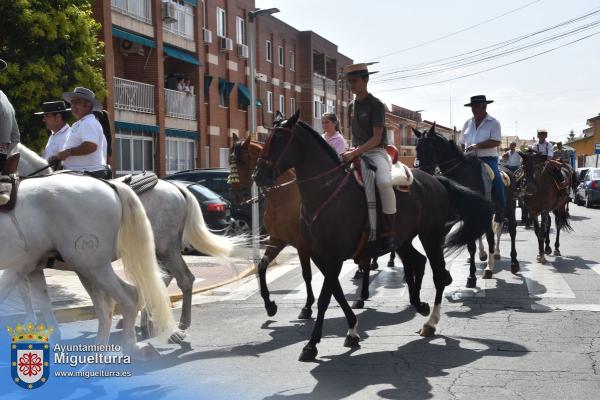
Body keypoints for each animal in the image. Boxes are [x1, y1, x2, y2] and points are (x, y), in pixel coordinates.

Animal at [0, 164, 177, 358]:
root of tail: (111, 186)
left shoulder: (23, 265)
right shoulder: (31, 266)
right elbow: (42, 301)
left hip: (93, 266)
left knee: (128, 297)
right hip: (86, 269)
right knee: (108, 309)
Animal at [13, 144, 241, 338]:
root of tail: (177, 188)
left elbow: (27, 294)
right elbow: (33, 296)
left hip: (165, 247)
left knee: (181, 278)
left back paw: (178, 324)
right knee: (162, 278)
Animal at [227, 134, 316, 318]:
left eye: (243, 162)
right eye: (229, 161)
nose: (235, 196)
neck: (283, 198)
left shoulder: (302, 245)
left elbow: (307, 274)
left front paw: (307, 306)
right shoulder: (276, 240)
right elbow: (261, 267)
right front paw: (269, 305)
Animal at [253, 111, 492, 360]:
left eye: (280, 139)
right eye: (267, 137)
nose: (258, 175)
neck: (326, 192)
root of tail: (435, 180)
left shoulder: (333, 256)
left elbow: (325, 298)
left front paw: (311, 344)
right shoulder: (319, 255)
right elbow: (336, 292)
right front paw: (352, 330)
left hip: (431, 235)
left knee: (438, 275)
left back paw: (431, 321)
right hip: (404, 240)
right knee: (418, 262)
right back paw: (419, 304)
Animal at [412, 126, 520, 286]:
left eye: (430, 147)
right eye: (416, 148)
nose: (422, 172)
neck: (461, 174)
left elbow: (472, 244)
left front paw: (473, 275)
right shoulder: (457, 217)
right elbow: (466, 243)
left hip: (509, 208)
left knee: (511, 231)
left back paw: (511, 262)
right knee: (492, 233)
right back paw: (490, 260)